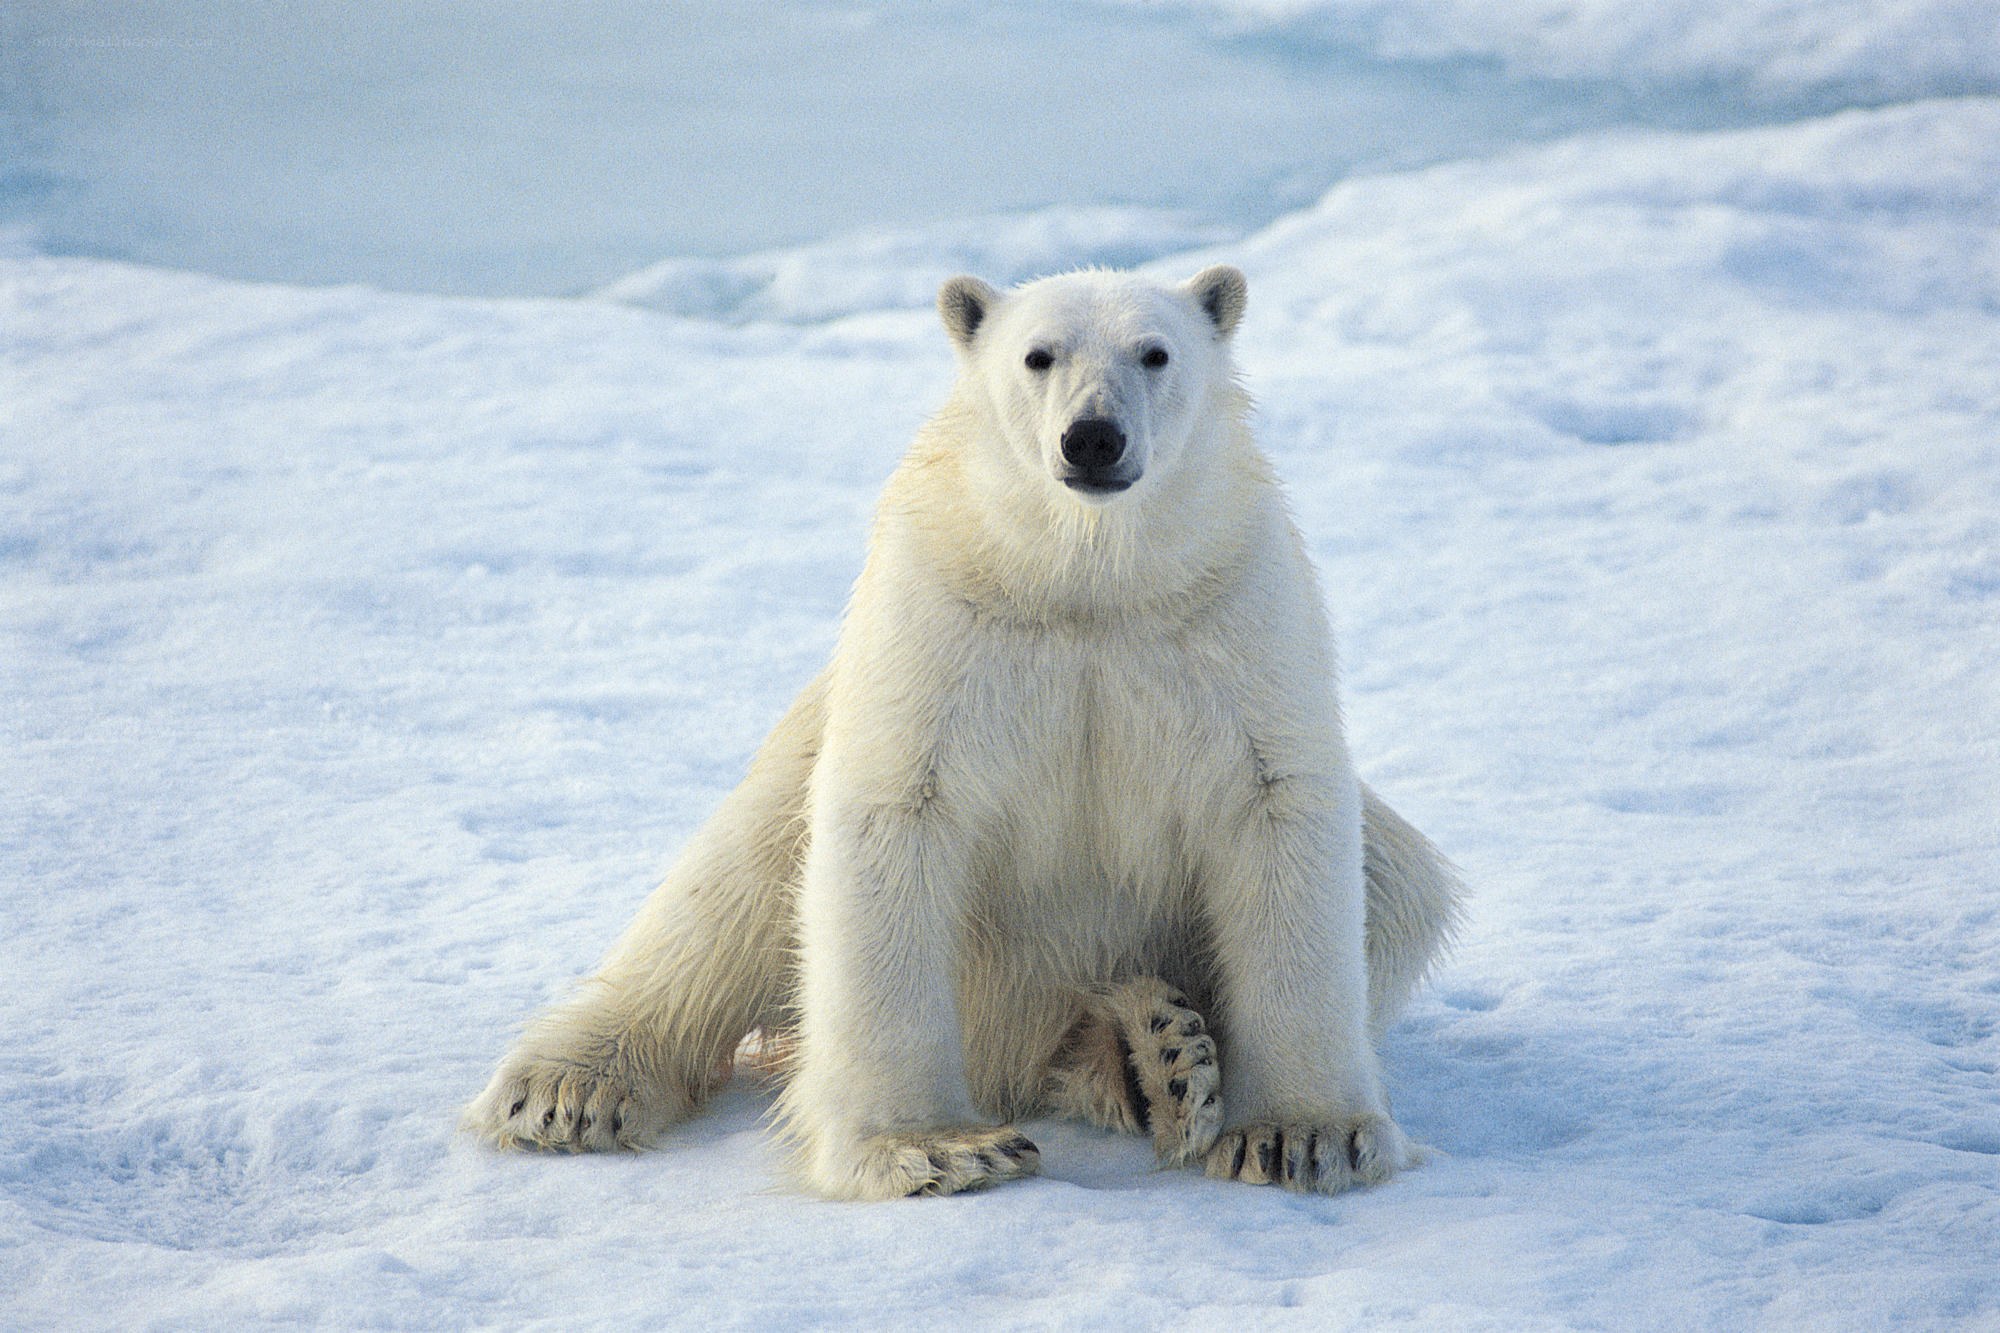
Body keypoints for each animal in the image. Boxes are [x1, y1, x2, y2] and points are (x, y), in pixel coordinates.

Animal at [464, 264, 1464, 1200]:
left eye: (1155, 352)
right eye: (1038, 355)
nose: (1092, 437)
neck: (1084, 580)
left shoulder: (1231, 613)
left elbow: (1278, 808)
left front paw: (1303, 1135)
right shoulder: (942, 617)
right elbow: (894, 814)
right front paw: (936, 1148)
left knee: (1400, 880)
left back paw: (1154, 1054)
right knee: (726, 895)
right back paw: (567, 1087)